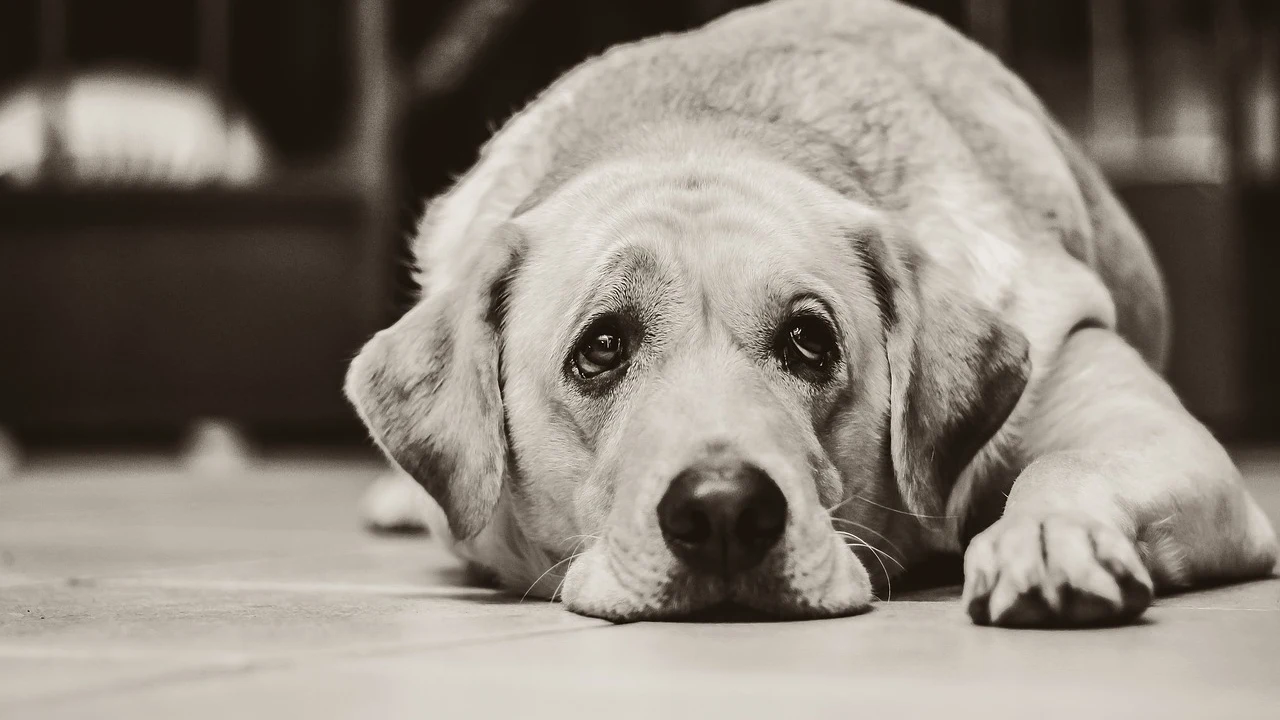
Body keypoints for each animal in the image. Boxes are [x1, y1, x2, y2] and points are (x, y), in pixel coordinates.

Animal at [345, 0, 1274, 622]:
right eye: (600, 348)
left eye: (808, 341)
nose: (723, 512)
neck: (702, 124)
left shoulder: (1143, 421)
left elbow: (1068, 464)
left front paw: (1048, 534)